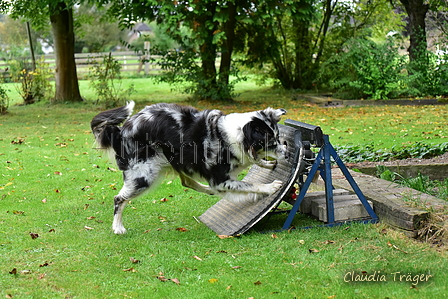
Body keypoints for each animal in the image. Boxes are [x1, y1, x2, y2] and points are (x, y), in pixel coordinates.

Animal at [90, 102, 288, 236]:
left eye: (278, 137)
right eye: (270, 142)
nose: (287, 153)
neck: (232, 136)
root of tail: (121, 131)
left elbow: (252, 167)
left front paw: (266, 164)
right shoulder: (220, 179)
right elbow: (250, 184)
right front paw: (270, 187)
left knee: (187, 181)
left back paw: (207, 190)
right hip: (144, 176)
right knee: (118, 198)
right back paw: (117, 227)